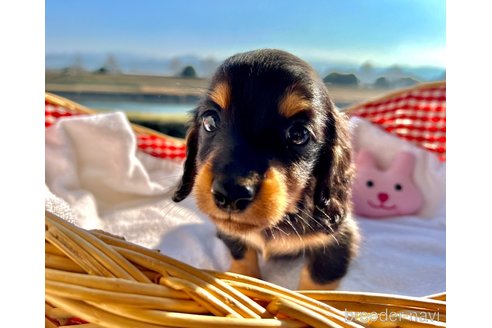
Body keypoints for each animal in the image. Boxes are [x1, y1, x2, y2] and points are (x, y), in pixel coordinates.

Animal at [175, 48, 360, 290]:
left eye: (299, 134)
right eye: (210, 121)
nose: (231, 194)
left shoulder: (338, 241)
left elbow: (317, 282)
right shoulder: (233, 236)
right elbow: (242, 254)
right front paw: (245, 282)